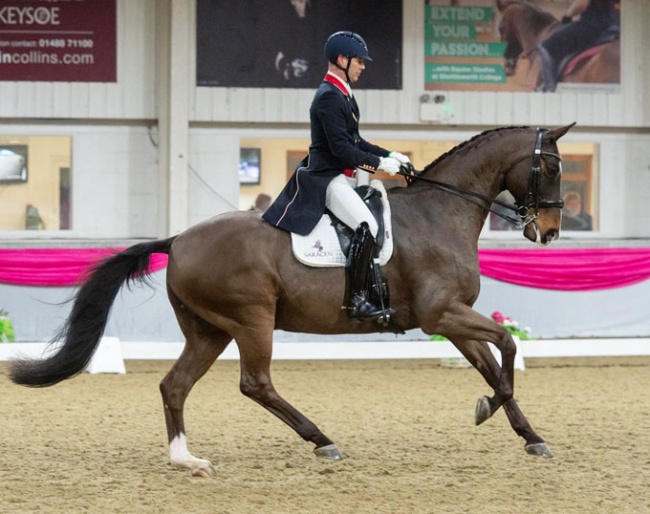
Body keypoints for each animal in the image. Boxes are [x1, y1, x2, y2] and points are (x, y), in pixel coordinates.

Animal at [6, 124, 572, 476]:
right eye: (550, 169)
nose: (548, 231)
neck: (442, 212)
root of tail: (179, 239)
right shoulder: (443, 315)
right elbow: (508, 350)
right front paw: (486, 409)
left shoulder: (452, 320)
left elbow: (494, 366)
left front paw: (528, 434)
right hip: (251, 319)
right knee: (255, 383)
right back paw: (322, 440)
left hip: (209, 330)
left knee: (175, 385)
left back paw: (186, 460)